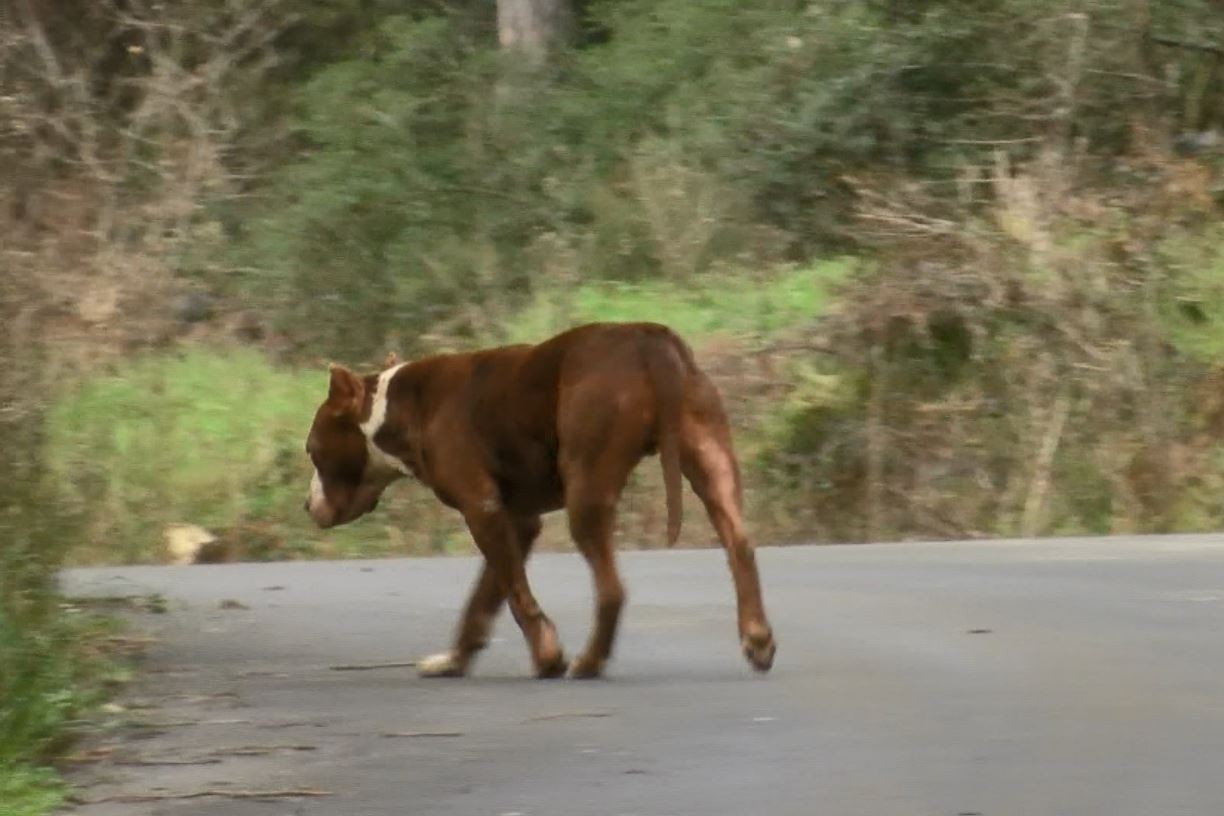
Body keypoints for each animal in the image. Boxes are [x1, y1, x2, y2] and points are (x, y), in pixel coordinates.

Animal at [304, 322, 773, 680]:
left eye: (312, 450)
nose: (307, 507)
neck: (392, 407)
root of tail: (649, 339)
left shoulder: (483, 510)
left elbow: (515, 595)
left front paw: (547, 658)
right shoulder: (517, 520)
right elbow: (483, 600)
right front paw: (455, 660)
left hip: (587, 490)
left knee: (612, 589)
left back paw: (590, 661)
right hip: (710, 457)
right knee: (740, 545)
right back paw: (758, 638)